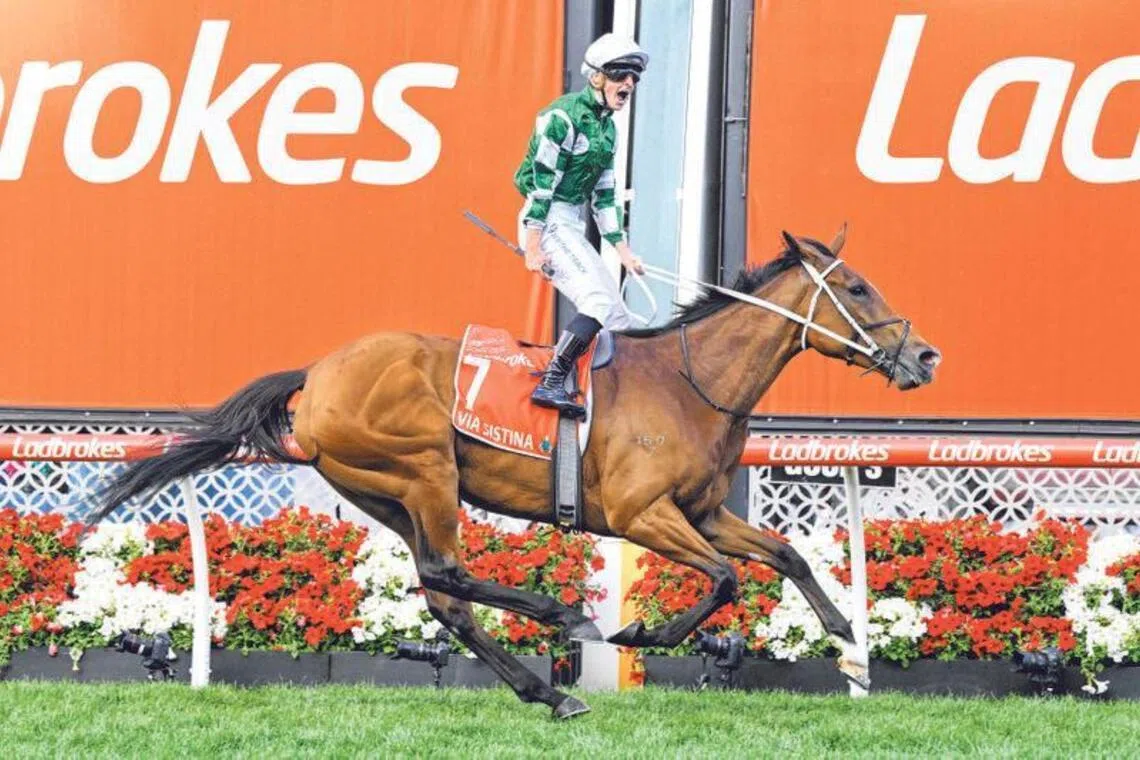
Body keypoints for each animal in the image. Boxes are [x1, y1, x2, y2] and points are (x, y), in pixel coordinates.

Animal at [89, 226, 940, 718]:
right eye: (857, 288)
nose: (925, 355)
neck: (689, 382)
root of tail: (318, 372)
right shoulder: (641, 515)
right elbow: (726, 579)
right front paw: (637, 628)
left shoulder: (700, 510)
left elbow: (786, 553)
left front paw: (847, 639)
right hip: (423, 470)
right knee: (449, 575)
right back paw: (563, 622)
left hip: (384, 491)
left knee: (444, 595)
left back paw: (548, 690)